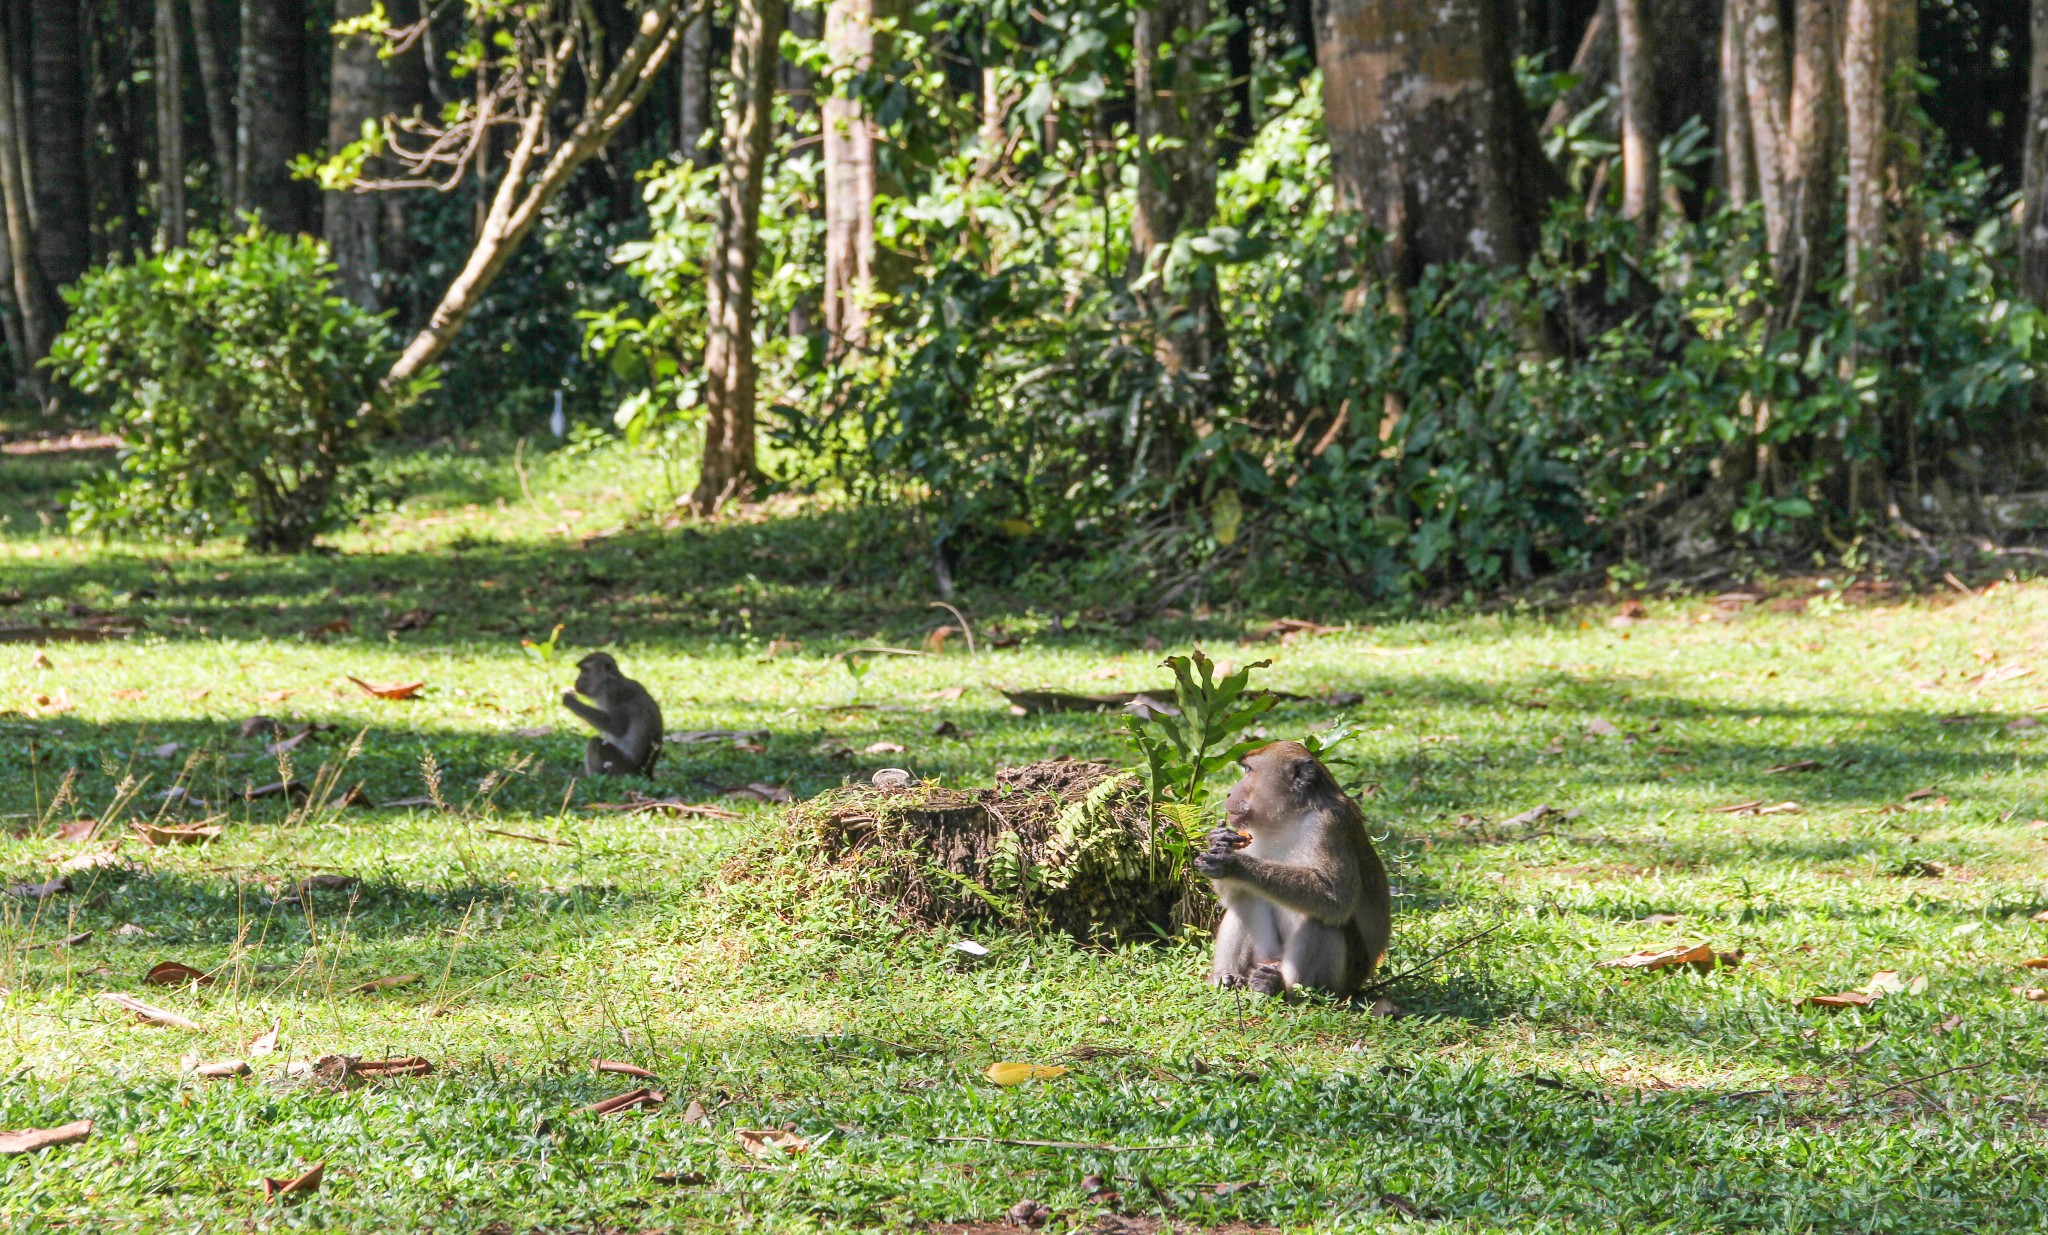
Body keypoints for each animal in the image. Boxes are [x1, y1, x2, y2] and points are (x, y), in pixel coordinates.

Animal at [1196, 737, 1392, 999]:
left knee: (1321, 919)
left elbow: (1336, 897)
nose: (1229, 792)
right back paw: (1228, 977)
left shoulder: (1329, 824)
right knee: (1245, 897)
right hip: (1266, 955)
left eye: (1248, 770)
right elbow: (1233, 893)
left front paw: (1234, 864)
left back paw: (1283, 988)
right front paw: (1217, 840)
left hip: (1343, 980)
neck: (1288, 817)